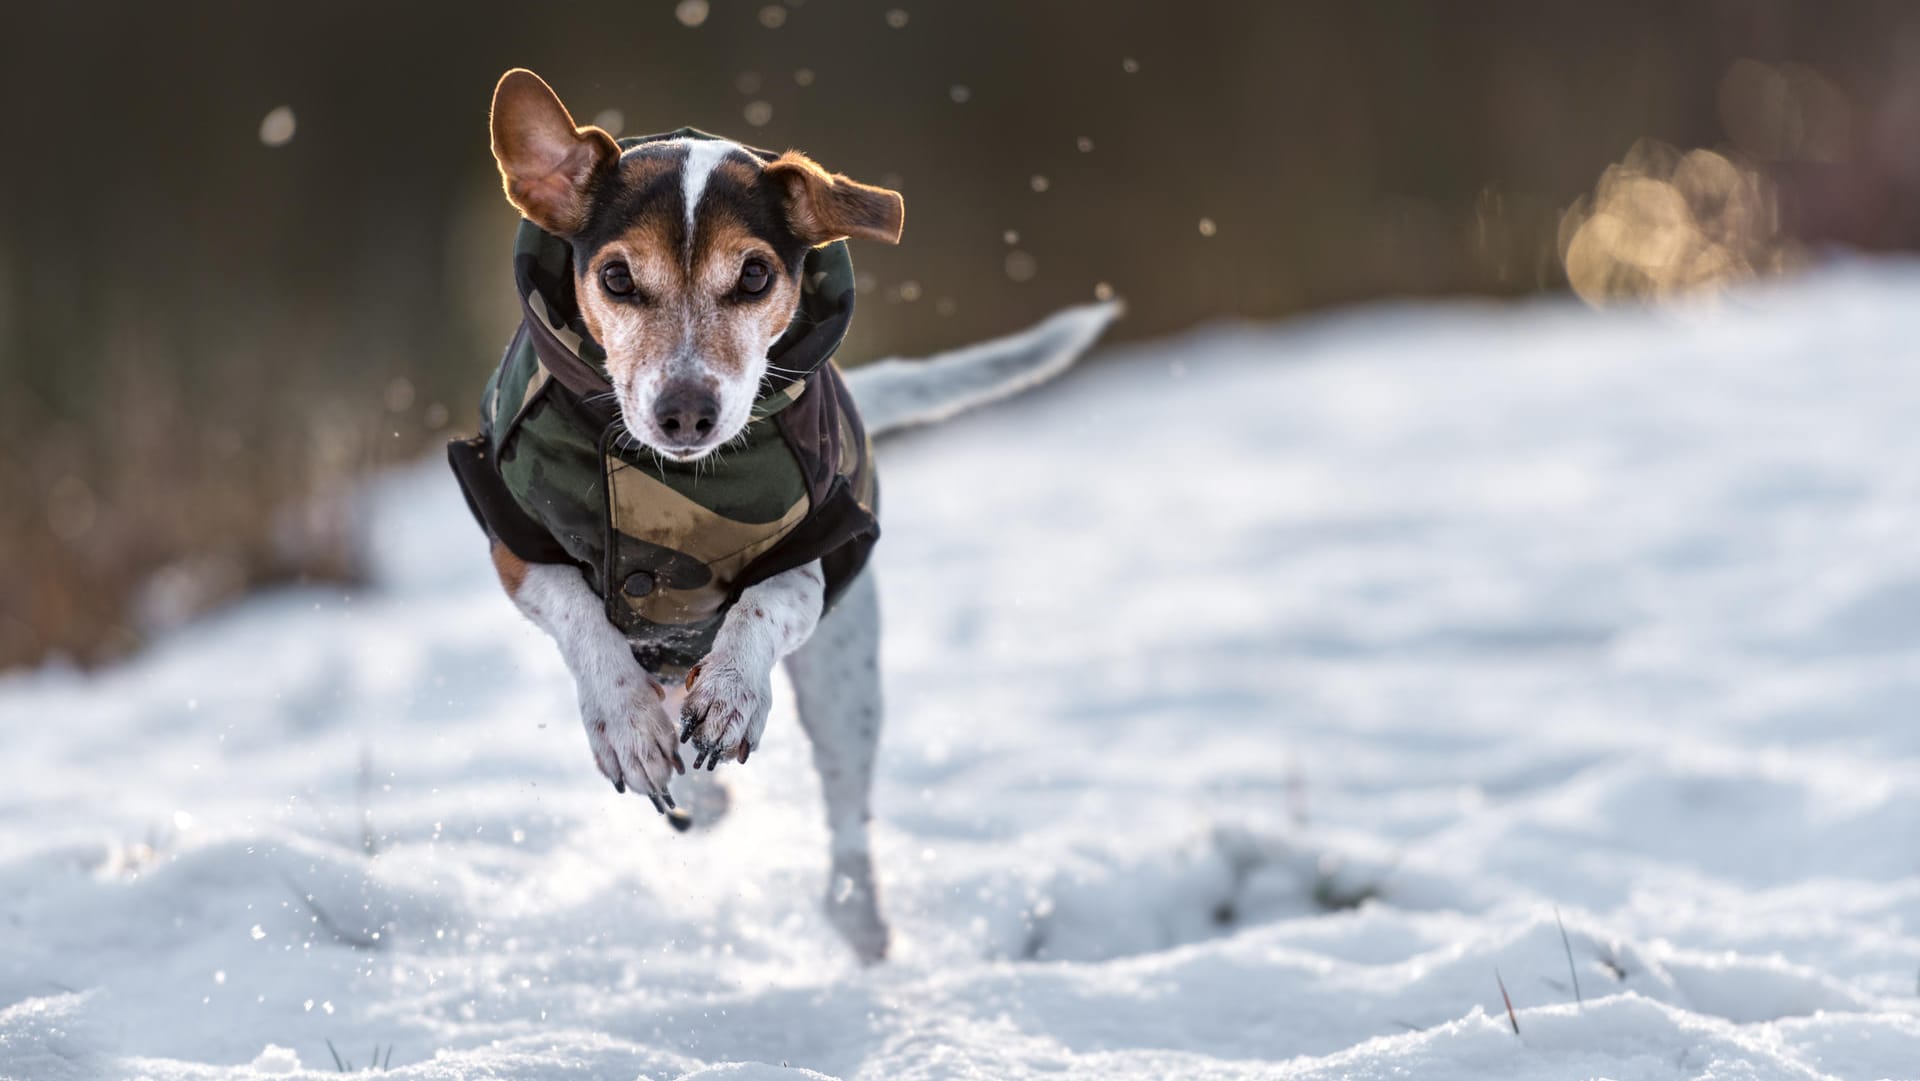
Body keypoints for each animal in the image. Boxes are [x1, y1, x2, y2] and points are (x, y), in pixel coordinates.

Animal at [447, 69, 1113, 963]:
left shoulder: (822, 547)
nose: (685, 411)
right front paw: (625, 721)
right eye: (617, 279)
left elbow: (764, 602)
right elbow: (581, 614)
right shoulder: (516, 544)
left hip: (844, 678)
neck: (666, 477)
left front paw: (733, 691)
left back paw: (860, 923)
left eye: (755, 276)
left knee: (845, 818)